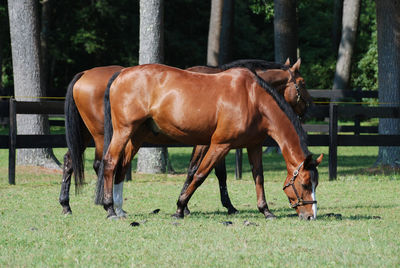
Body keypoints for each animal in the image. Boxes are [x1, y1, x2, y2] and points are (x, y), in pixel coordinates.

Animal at [59, 59, 312, 217]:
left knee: (76, 161)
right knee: (106, 164)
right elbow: (198, 172)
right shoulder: (210, 143)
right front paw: (192, 206)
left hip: (110, 135)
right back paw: (107, 206)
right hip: (109, 135)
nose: (310, 108)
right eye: (302, 83)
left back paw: (75, 205)